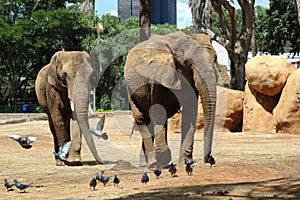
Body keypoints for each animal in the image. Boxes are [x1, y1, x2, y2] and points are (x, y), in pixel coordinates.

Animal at [124, 31, 218, 169]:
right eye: (188, 62)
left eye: (215, 59)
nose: (210, 160)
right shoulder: (158, 75)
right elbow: (158, 112)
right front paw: (164, 159)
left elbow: (190, 112)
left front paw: (186, 162)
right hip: (130, 88)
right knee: (142, 118)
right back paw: (152, 163)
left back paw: (144, 163)